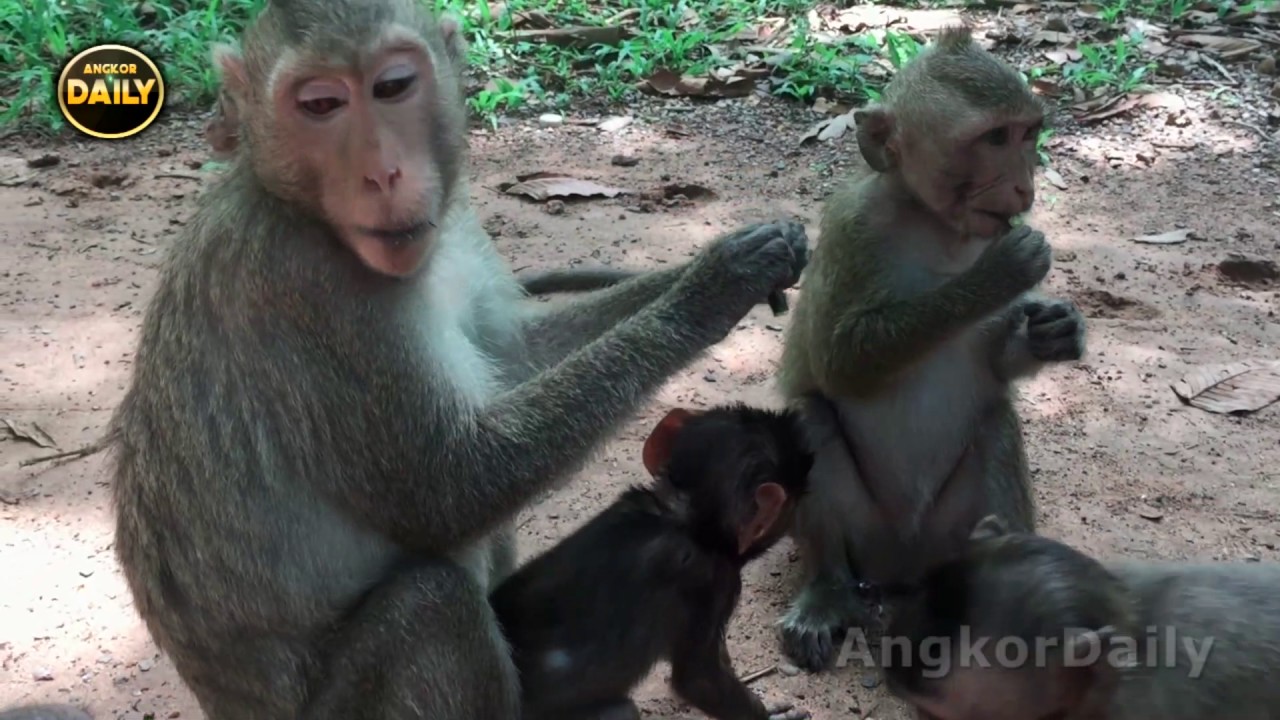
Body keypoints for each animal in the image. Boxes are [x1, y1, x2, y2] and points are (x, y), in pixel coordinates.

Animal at [773, 24, 1087, 672]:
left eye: (1028, 133)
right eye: (993, 138)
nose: (1024, 185)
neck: (935, 224)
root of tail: (902, 566)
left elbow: (998, 365)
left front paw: (1055, 330)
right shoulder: (851, 230)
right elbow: (841, 362)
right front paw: (999, 274)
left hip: (949, 534)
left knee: (995, 421)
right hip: (866, 535)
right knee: (810, 416)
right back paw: (825, 594)